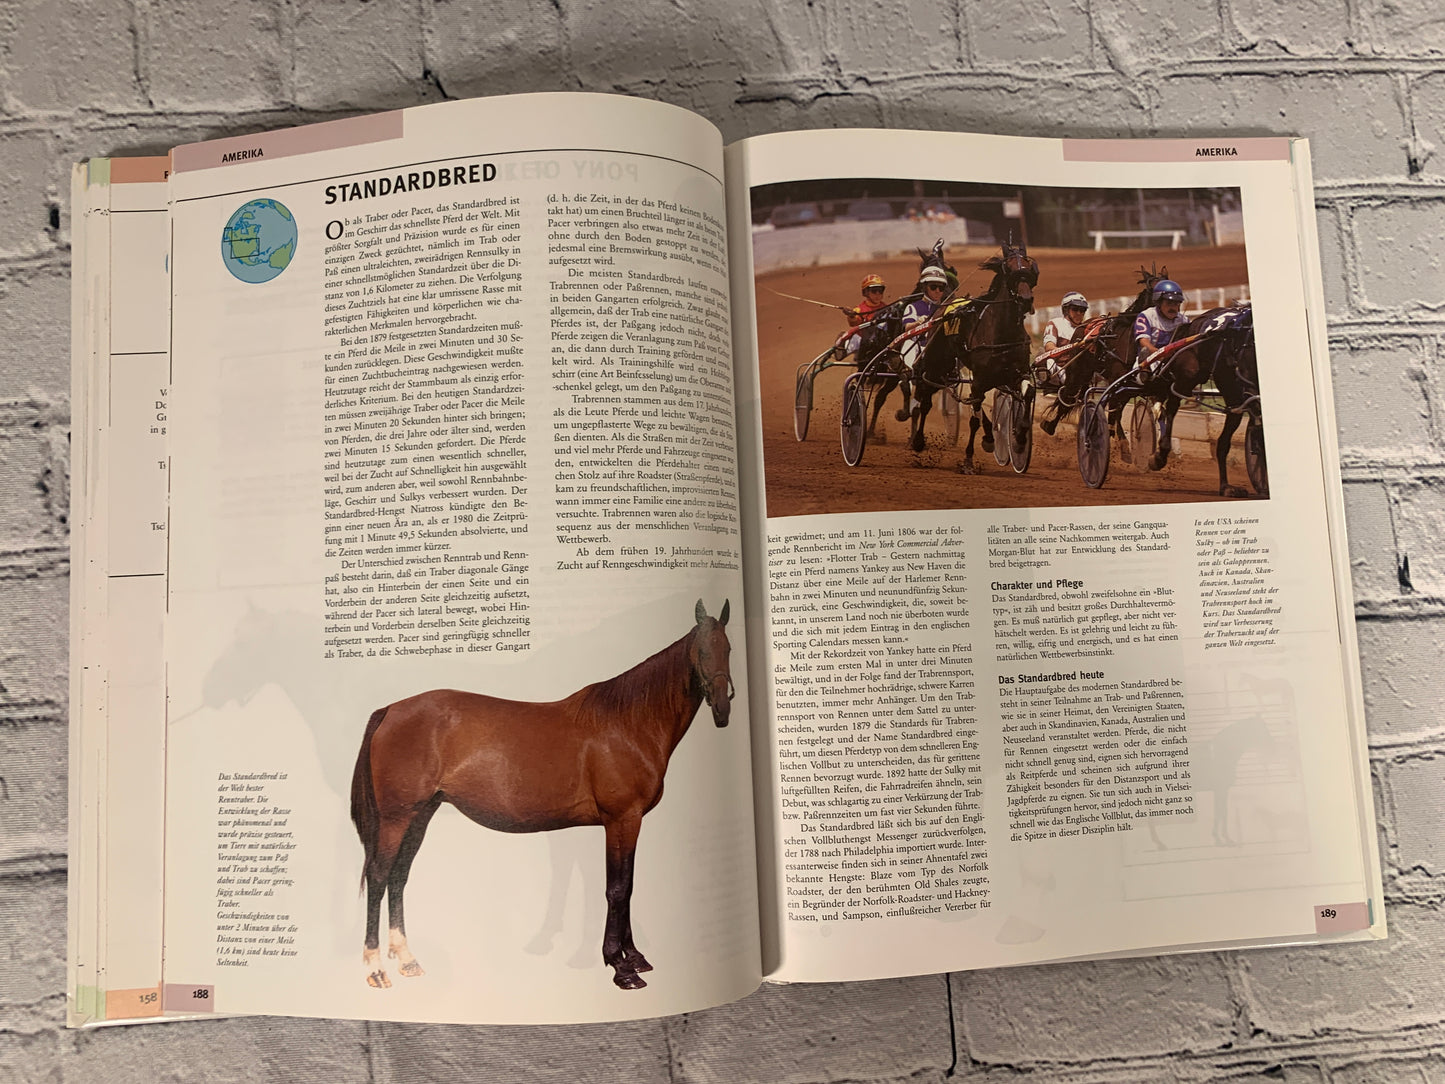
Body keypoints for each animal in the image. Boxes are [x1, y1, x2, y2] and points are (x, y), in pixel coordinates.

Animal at [350, 599, 735, 992]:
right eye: (702, 651)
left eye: (729, 649)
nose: (723, 708)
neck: (629, 724)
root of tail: (390, 711)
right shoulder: (621, 818)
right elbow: (617, 888)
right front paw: (620, 966)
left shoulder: (630, 821)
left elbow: (627, 886)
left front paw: (635, 957)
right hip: (397, 818)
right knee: (379, 877)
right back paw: (375, 969)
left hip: (420, 815)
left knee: (398, 877)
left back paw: (408, 960)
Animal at [907, 240, 1037, 467]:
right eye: (1009, 268)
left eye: (1029, 267)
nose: (1025, 299)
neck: (1002, 332)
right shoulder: (979, 380)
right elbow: (974, 419)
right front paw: (968, 459)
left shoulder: (1017, 373)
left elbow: (1028, 393)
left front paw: (1020, 437)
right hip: (936, 365)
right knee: (925, 399)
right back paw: (918, 440)